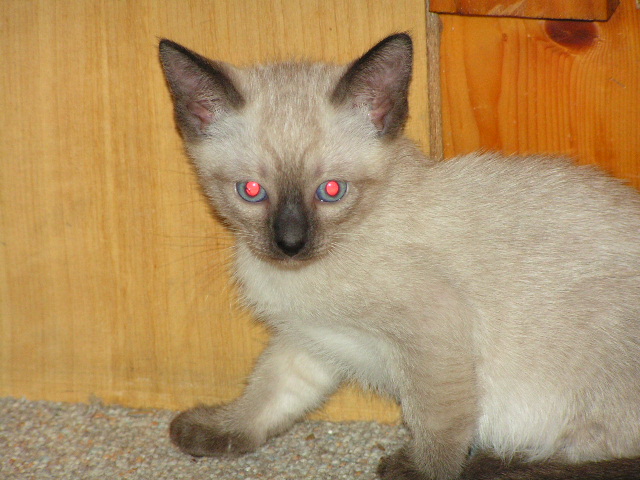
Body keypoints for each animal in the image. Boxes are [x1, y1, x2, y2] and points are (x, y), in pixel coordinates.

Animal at [158, 34, 640, 480]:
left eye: (331, 190)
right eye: (252, 191)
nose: (290, 243)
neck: (306, 274)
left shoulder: (435, 328)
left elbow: (438, 418)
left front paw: (423, 471)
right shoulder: (311, 336)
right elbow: (271, 389)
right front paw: (222, 429)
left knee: (599, 455)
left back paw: (498, 462)